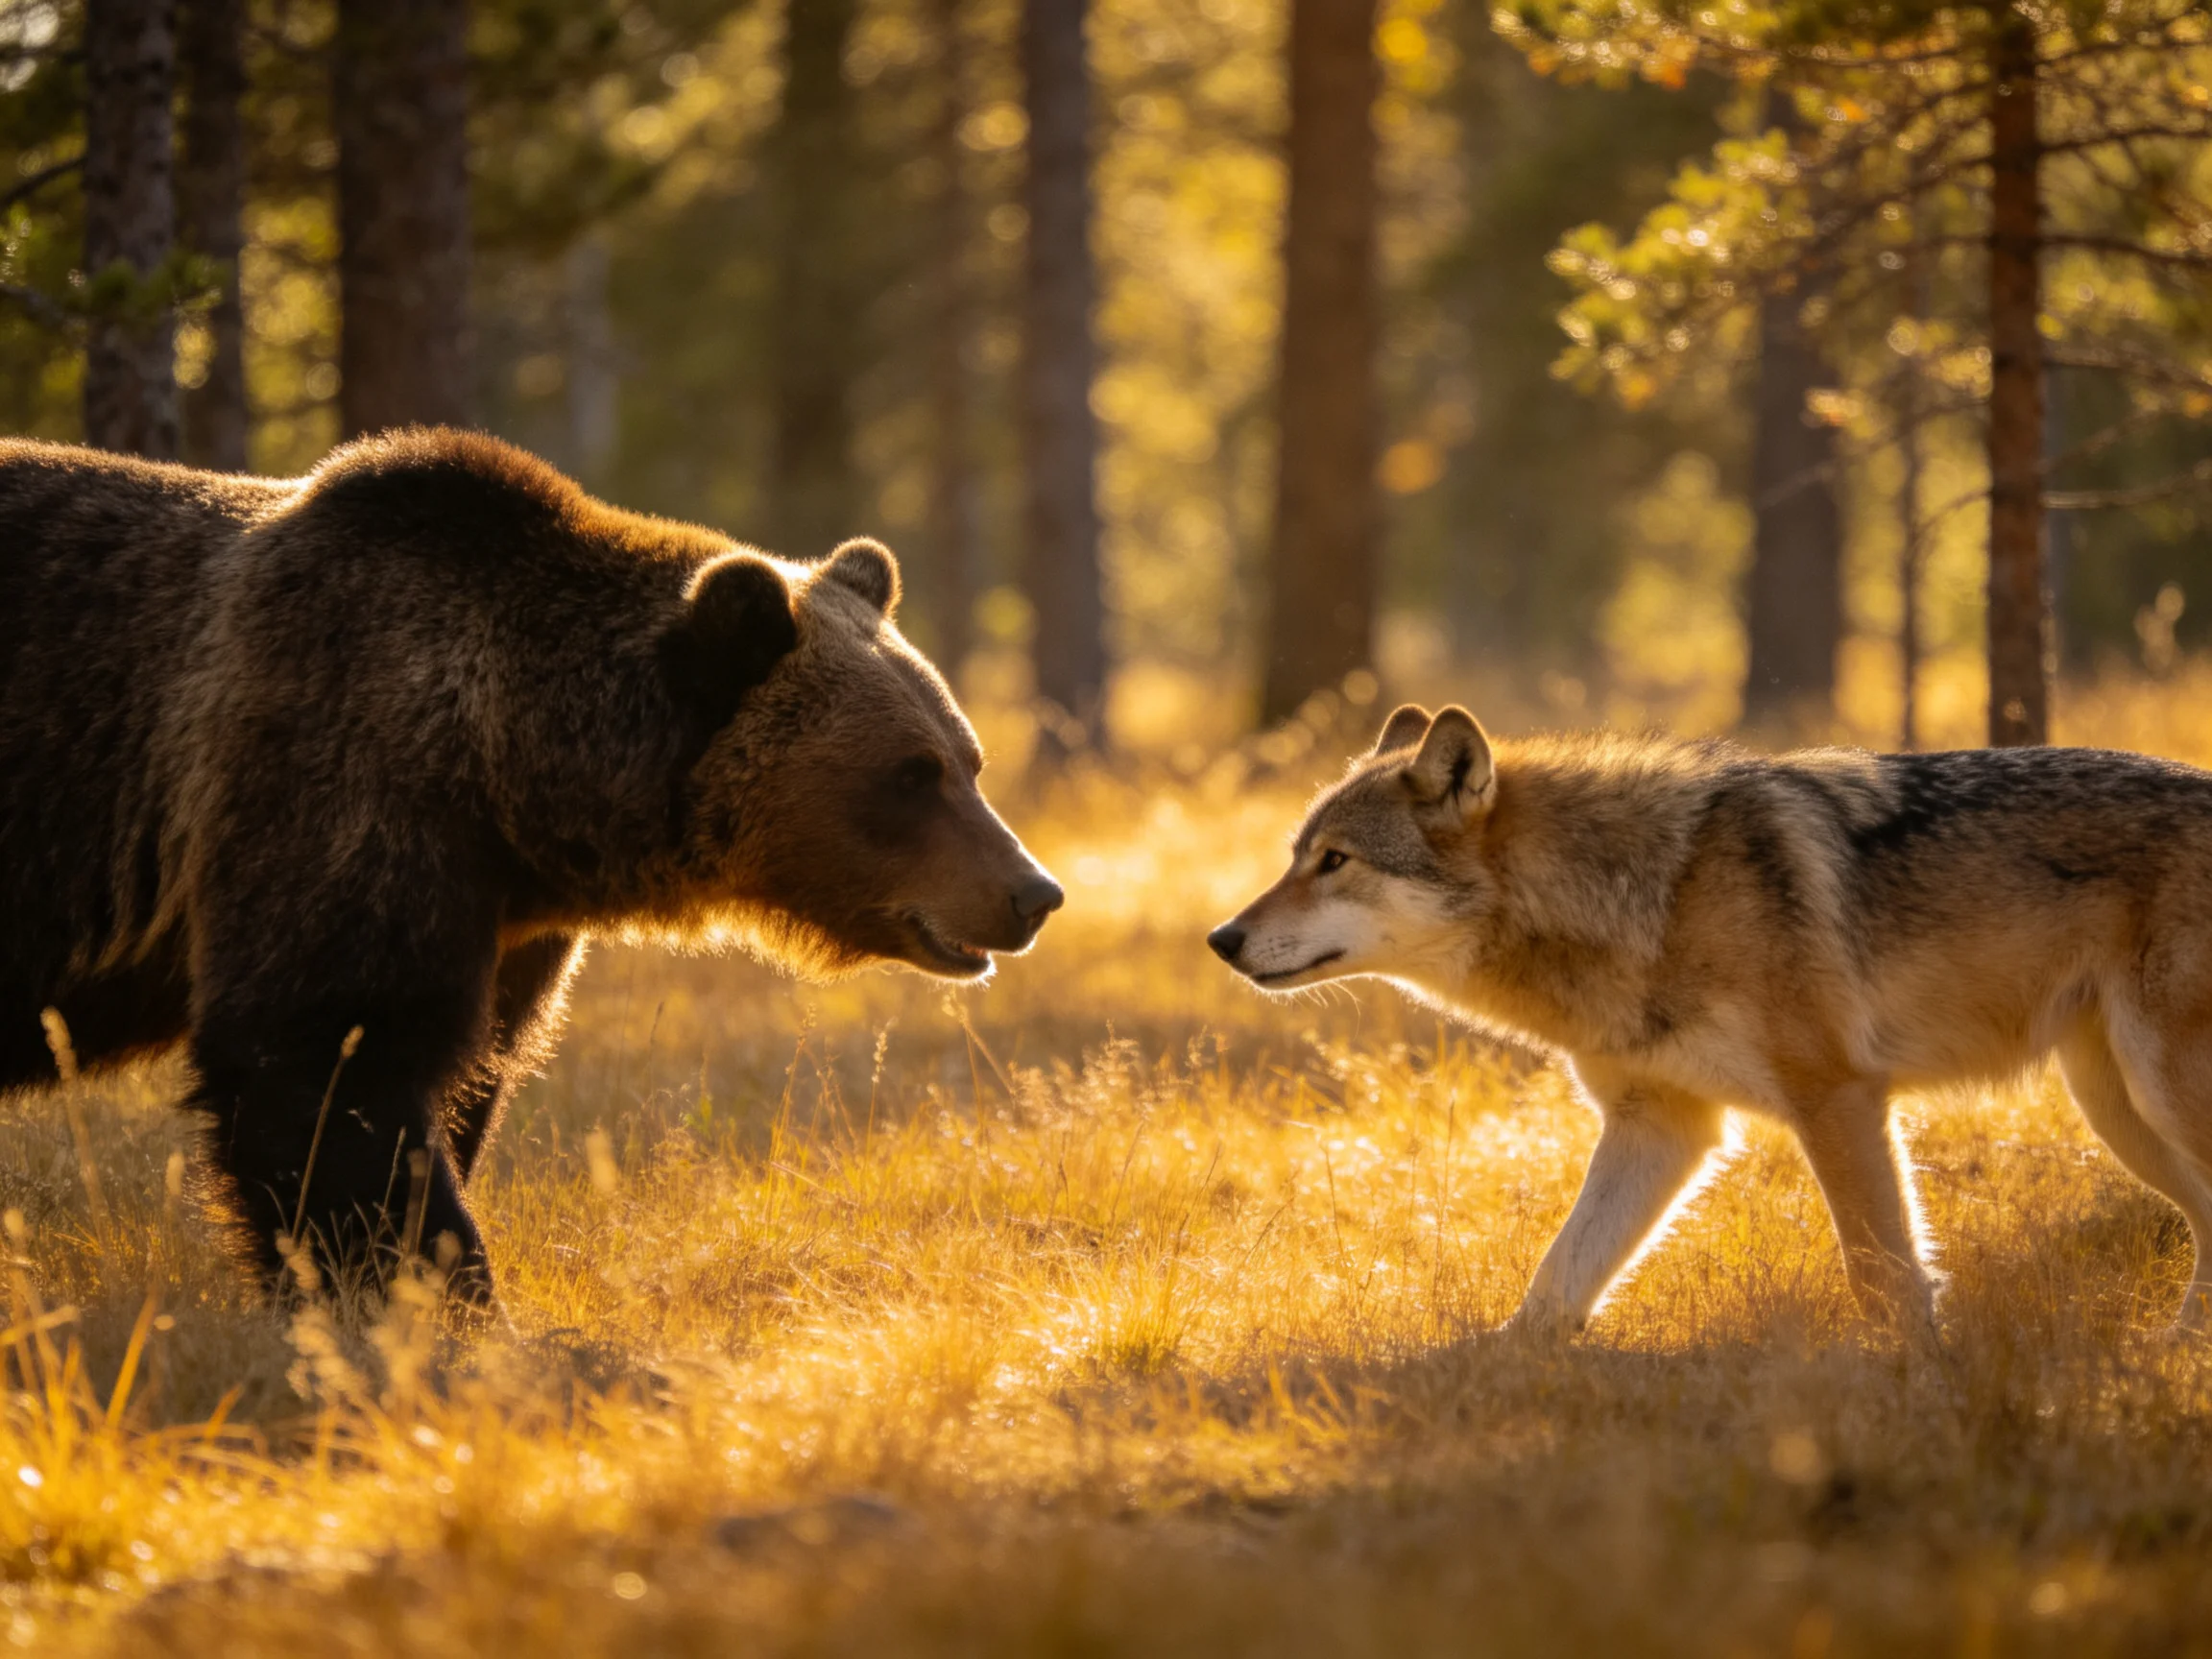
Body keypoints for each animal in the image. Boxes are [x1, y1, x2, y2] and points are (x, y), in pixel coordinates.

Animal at [0, 427, 1063, 1309]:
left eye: (967, 758)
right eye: (910, 774)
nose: (1032, 892)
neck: (508, 779)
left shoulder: (507, 926)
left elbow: (465, 1081)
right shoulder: (336, 789)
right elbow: (328, 1068)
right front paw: (441, 1308)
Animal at [1210, 702, 2212, 1335]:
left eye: (1335, 861)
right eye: (1296, 855)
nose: (1222, 938)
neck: (1653, 895)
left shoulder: (1838, 1097)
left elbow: (1884, 1276)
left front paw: (1913, 1393)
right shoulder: (1662, 1125)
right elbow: (1552, 1290)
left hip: (2156, 1096)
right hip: (2119, 1111)